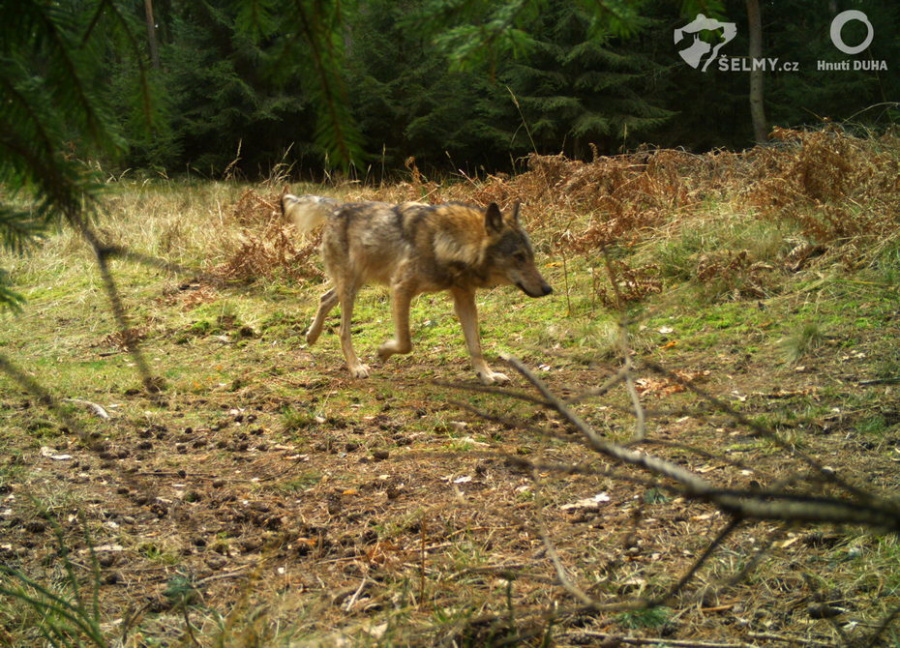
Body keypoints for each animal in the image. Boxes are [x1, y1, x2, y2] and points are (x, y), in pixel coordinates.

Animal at [282, 192, 552, 384]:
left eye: (530, 256)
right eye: (518, 257)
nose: (548, 288)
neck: (447, 243)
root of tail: (338, 206)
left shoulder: (465, 299)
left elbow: (476, 346)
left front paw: (486, 375)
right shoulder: (400, 288)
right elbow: (406, 342)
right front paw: (382, 352)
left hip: (355, 283)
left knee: (324, 298)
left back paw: (311, 336)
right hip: (350, 288)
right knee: (342, 330)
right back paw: (356, 367)